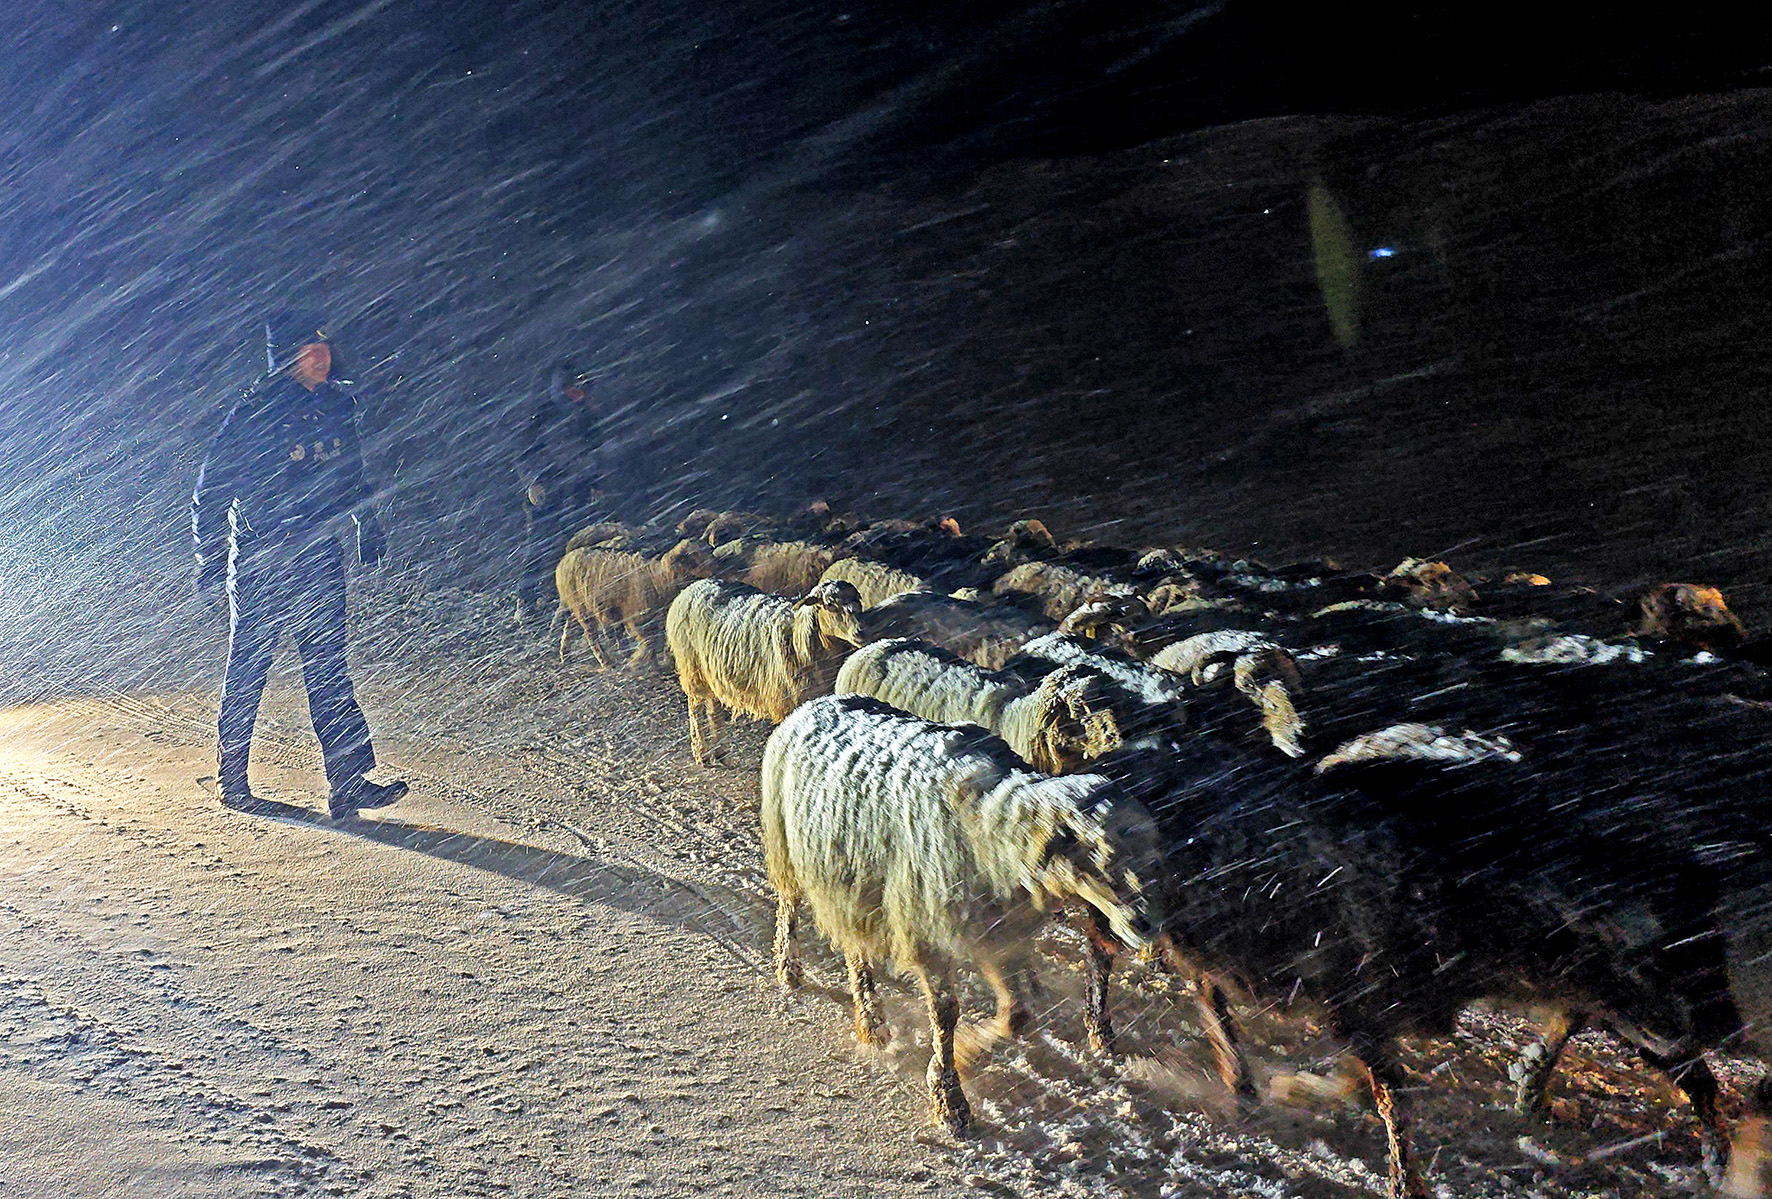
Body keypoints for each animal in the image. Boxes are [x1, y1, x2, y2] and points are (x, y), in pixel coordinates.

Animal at [553, 538, 717, 667]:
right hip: (583, 610)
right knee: (590, 635)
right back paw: (606, 662)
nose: (715, 571)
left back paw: (565, 656)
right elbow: (649, 642)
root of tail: (563, 561)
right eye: (692, 559)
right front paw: (644, 662)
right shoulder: (636, 620)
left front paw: (662, 659)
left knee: (570, 626)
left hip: (581, 608)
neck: (658, 580)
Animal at [663, 578, 866, 766]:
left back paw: (720, 752)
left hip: (712, 674)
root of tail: (691, 588)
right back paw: (702, 753)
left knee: (713, 709)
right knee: (695, 708)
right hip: (692, 669)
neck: (798, 637)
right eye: (830, 604)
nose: (860, 632)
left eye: (857, 600)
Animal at [761, 694, 1160, 1136]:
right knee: (789, 908)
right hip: (787, 846)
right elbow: (946, 1014)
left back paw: (871, 1020)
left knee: (856, 947)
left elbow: (1019, 1013)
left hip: (854, 879)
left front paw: (974, 1046)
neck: (990, 830)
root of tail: (816, 702)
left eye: (1147, 854)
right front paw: (950, 1098)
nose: (1146, 925)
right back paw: (790, 968)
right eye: (1096, 857)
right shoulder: (927, 932)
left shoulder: (999, 931)